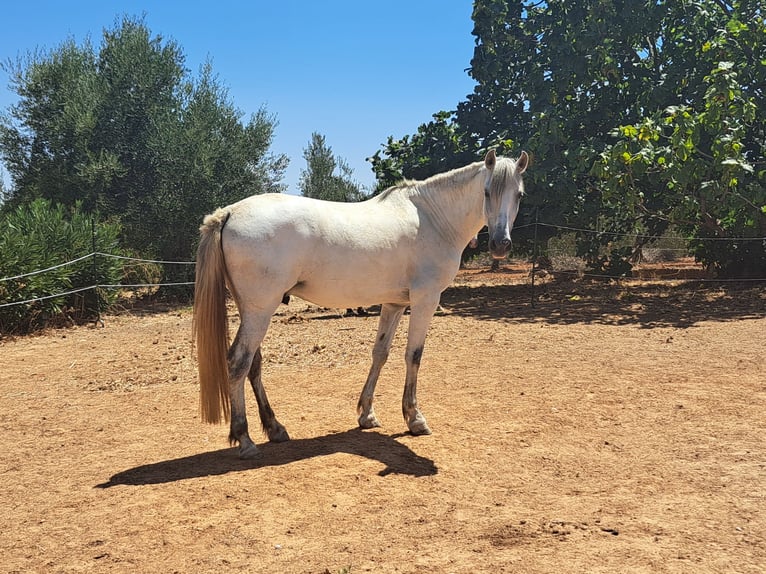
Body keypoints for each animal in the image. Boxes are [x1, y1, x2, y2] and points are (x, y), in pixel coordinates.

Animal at [194, 151, 528, 462]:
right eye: (487, 191)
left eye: (519, 194)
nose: (500, 245)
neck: (433, 218)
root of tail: (229, 212)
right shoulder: (425, 300)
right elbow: (414, 356)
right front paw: (414, 418)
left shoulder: (394, 304)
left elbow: (380, 354)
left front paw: (367, 414)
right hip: (260, 310)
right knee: (238, 363)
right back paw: (245, 439)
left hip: (252, 310)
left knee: (254, 365)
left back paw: (275, 429)